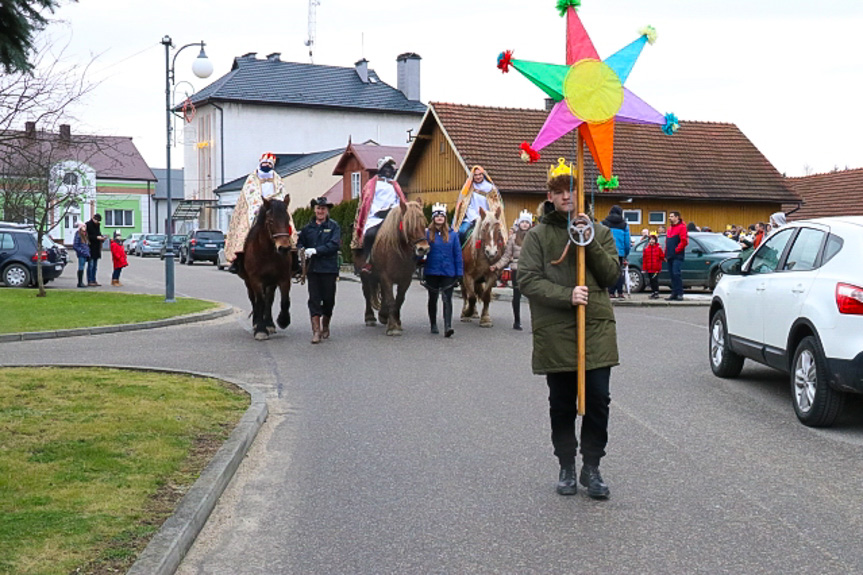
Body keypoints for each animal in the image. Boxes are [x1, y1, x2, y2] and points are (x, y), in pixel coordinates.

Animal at [238, 199, 296, 342]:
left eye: (288, 219)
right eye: (270, 221)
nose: (284, 248)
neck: (268, 253)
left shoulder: (283, 279)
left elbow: (284, 301)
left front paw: (283, 321)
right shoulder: (256, 280)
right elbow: (259, 302)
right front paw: (260, 329)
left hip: (271, 283)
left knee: (269, 300)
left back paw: (269, 323)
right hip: (249, 282)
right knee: (254, 300)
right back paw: (256, 323)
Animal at [354, 202, 428, 338]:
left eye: (423, 223)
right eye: (408, 224)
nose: (423, 249)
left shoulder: (406, 279)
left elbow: (398, 300)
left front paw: (394, 321)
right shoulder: (386, 277)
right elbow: (390, 300)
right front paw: (393, 327)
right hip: (364, 274)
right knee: (367, 293)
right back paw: (370, 317)